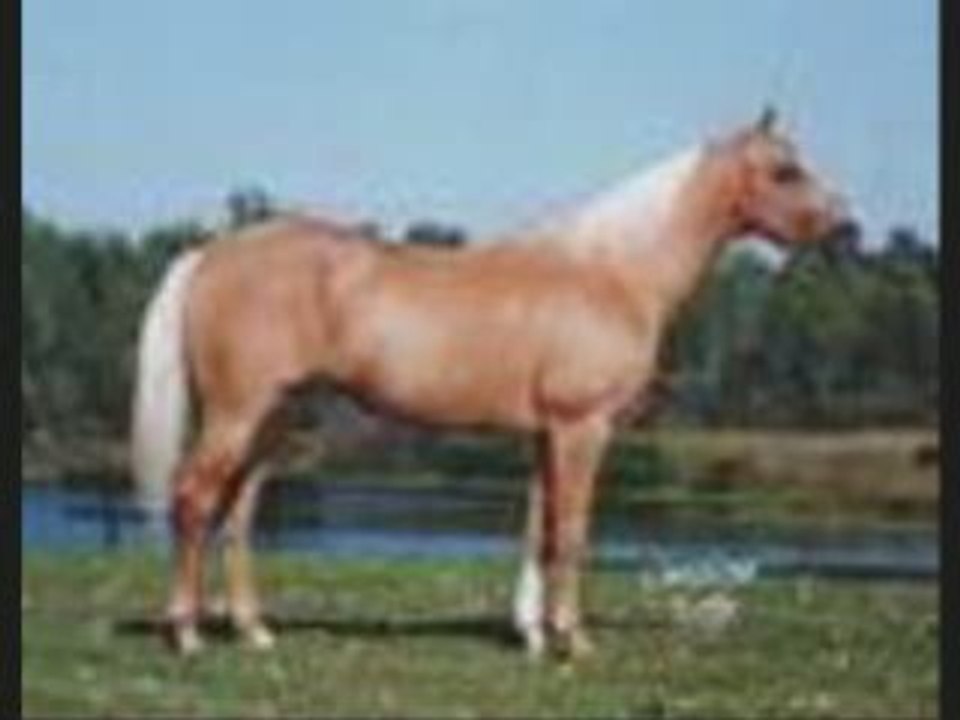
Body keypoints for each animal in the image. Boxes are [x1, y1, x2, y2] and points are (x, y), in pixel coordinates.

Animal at [130, 108, 856, 659]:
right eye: (784, 170)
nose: (847, 230)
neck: (612, 271)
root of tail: (212, 253)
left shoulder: (545, 434)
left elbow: (539, 530)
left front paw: (532, 635)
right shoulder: (582, 429)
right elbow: (572, 531)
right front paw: (574, 642)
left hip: (271, 418)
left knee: (235, 513)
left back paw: (252, 631)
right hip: (236, 413)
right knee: (193, 499)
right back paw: (187, 635)